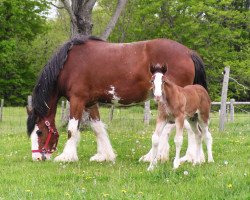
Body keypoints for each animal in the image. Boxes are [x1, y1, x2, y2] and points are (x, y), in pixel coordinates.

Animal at [26, 34, 207, 162]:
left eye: (39, 132)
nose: (37, 158)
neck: (69, 65)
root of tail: (188, 52)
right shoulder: (90, 102)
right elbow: (97, 128)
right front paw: (104, 155)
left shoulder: (77, 100)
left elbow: (72, 129)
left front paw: (67, 156)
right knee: (191, 128)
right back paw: (191, 157)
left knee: (174, 128)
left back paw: (159, 156)